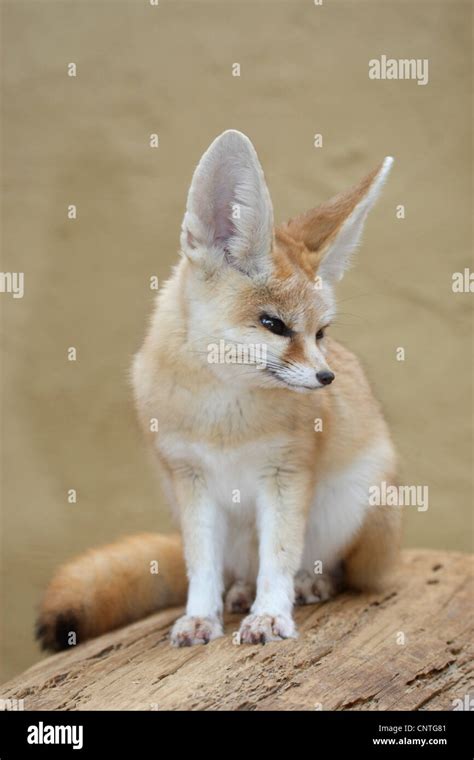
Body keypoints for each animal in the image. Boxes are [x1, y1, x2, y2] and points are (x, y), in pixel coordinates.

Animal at [37, 127, 400, 652]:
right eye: (273, 324)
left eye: (321, 333)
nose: (326, 379)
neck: (223, 416)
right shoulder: (191, 481)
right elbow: (201, 567)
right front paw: (199, 617)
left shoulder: (285, 475)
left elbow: (280, 558)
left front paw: (270, 615)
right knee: (235, 571)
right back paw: (240, 592)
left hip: (354, 505)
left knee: (337, 569)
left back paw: (312, 582)